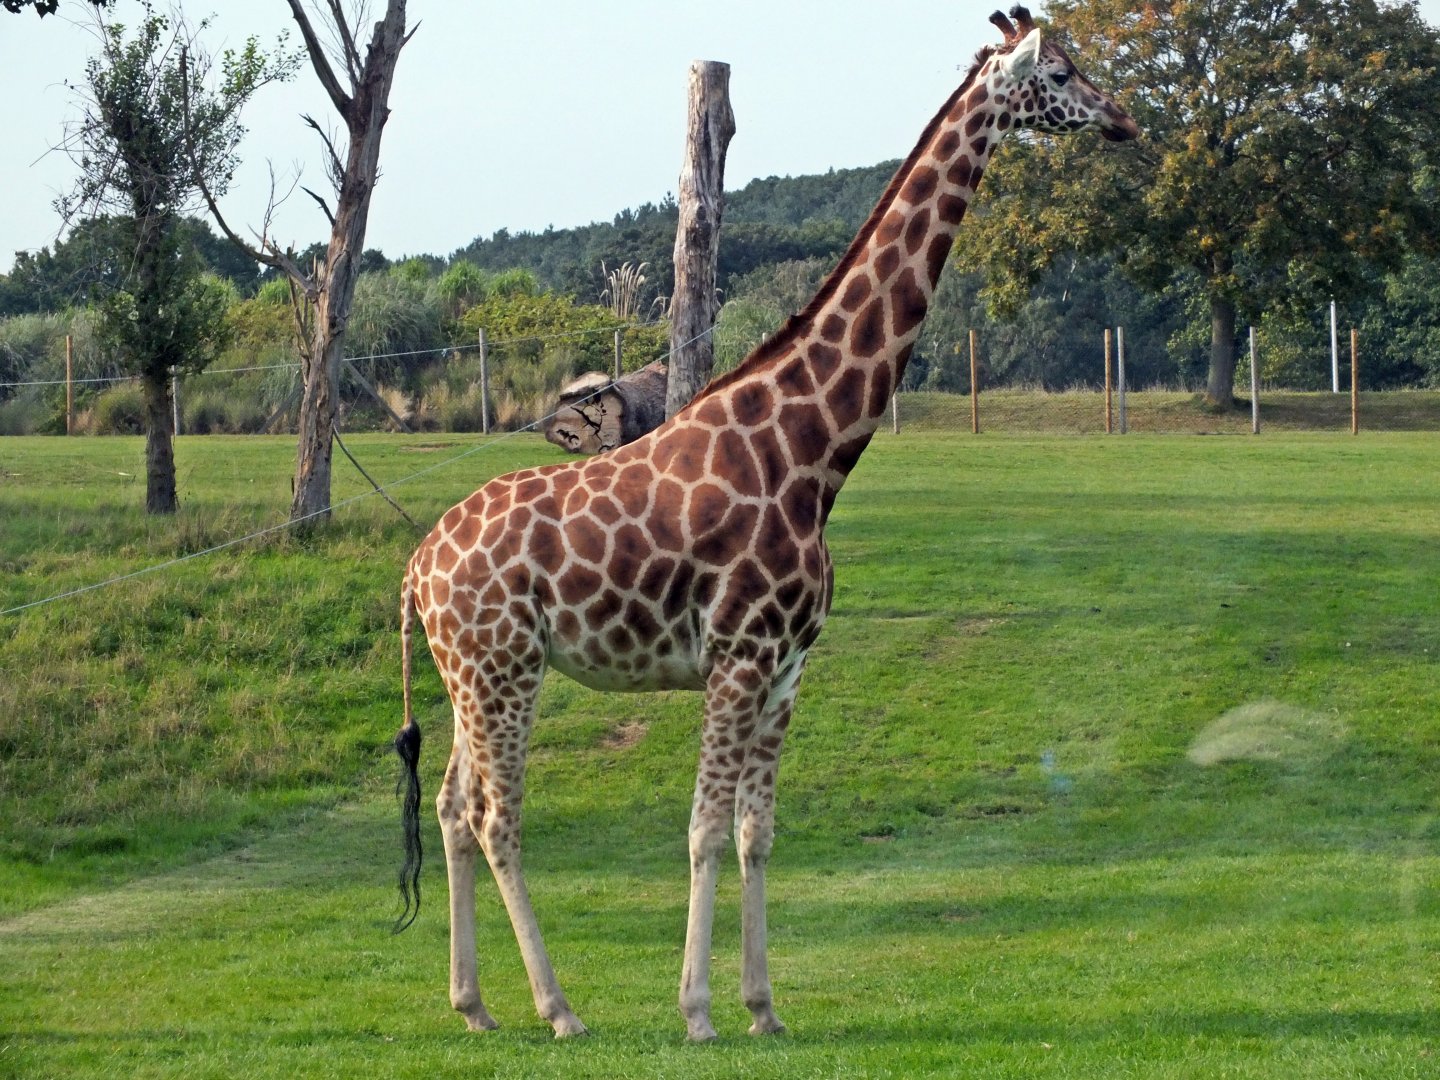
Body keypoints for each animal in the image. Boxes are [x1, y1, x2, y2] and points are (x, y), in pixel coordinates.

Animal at [393, 6, 1138, 1041]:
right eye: (1062, 71)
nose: (1125, 122)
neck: (815, 453)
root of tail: (417, 568)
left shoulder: (788, 666)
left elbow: (757, 834)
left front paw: (763, 1006)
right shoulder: (738, 655)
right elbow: (704, 832)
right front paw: (698, 1010)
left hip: (474, 672)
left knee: (453, 808)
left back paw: (474, 1005)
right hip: (502, 666)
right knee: (498, 817)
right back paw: (559, 1009)